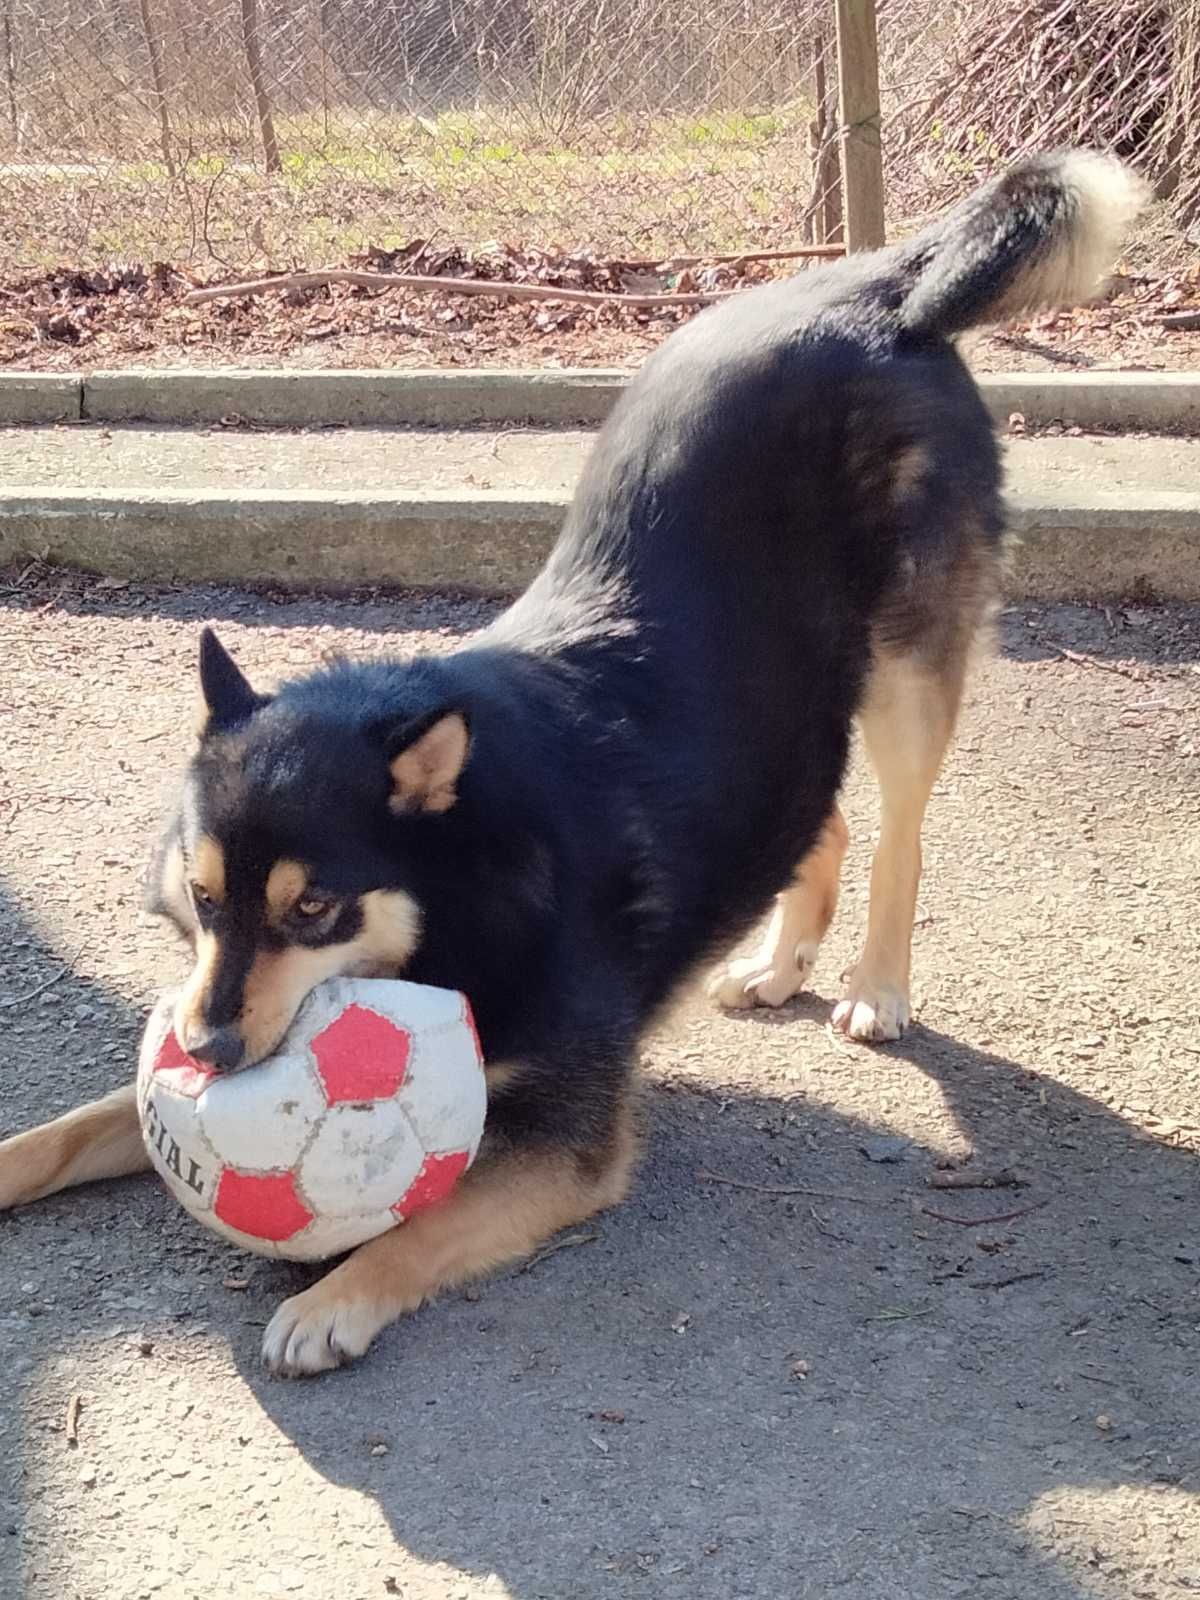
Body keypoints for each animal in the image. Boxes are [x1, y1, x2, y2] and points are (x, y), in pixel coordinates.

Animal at [0, 152, 1145, 1376]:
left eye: (313, 910)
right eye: (205, 897)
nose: (208, 1053)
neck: (465, 887)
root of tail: (881, 285)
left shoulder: (568, 1137)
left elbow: (422, 1226)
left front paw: (332, 1298)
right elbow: (78, 1122)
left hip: (904, 669)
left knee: (902, 832)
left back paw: (876, 986)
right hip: (780, 699)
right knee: (816, 815)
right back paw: (777, 961)